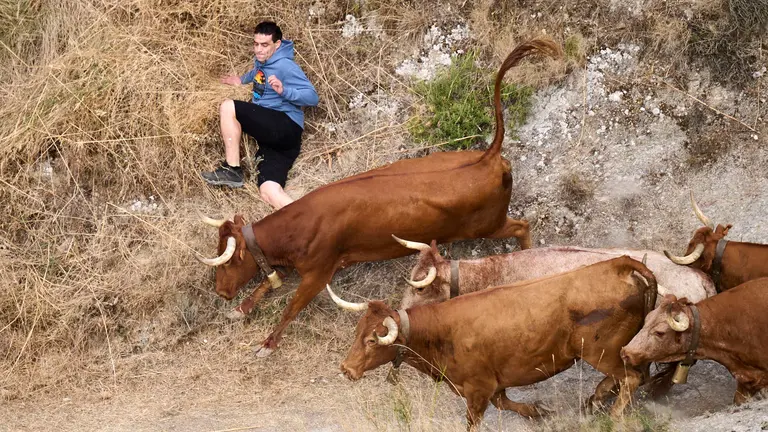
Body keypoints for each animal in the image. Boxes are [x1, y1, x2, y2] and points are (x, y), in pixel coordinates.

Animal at [196, 39, 563, 357]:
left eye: (228, 261)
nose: (221, 293)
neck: (302, 224)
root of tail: (488, 155)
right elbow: (267, 284)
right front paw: (241, 308)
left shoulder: (318, 273)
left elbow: (291, 307)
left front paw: (268, 343)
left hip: (488, 225)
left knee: (522, 226)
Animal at [331, 256, 658, 430]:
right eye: (358, 332)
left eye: (371, 340)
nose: (346, 368)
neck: (440, 331)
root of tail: (620, 263)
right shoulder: (493, 383)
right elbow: (506, 403)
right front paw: (538, 412)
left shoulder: (478, 389)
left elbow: (474, 421)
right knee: (630, 377)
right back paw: (595, 400)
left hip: (601, 351)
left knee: (630, 377)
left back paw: (612, 414)